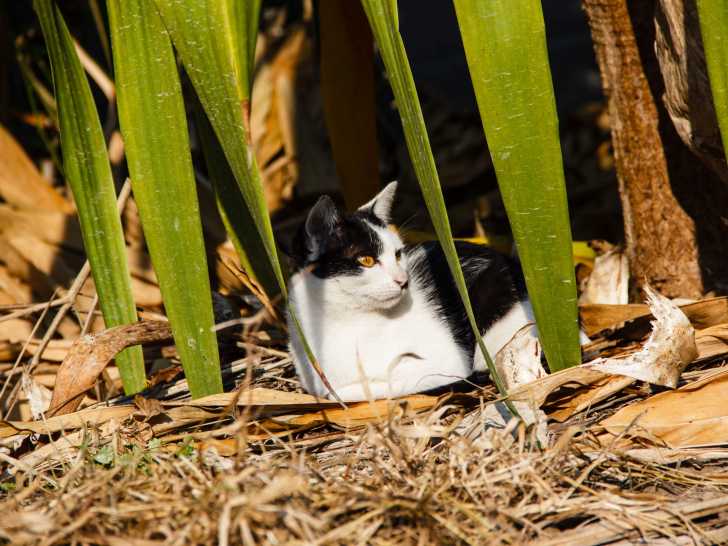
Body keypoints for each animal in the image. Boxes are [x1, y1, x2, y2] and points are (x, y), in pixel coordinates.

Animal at [288, 182, 544, 400]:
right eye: (366, 260)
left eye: (397, 254)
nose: (403, 281)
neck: (343, 322)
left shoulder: (449, 361)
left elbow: (352, 390)